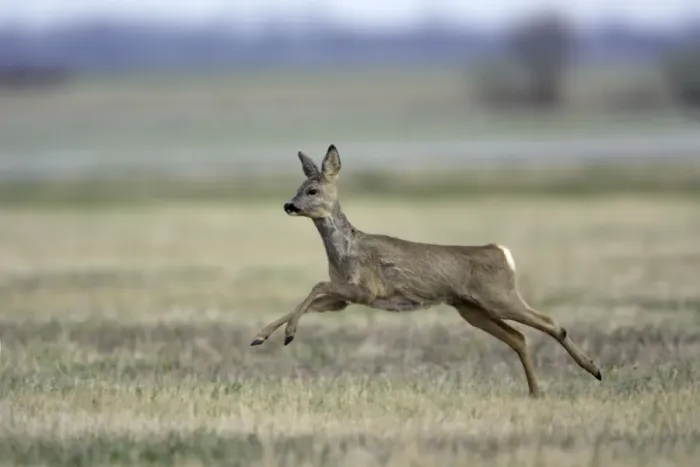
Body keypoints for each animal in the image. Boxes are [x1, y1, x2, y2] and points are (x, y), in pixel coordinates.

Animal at [250, 144, 602, 397]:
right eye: (298, 187)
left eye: (312, 191)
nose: (289, 205)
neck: (346, 251)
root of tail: (501, 252)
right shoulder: (344, 299)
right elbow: (310, 297)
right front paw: (261, 336)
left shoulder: (365, 289)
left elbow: (316, 285)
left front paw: (288, 334)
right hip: (471, 307)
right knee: (518, 337)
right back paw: (536, 392)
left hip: (499, 296)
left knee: (551, 324)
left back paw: (593, 369)